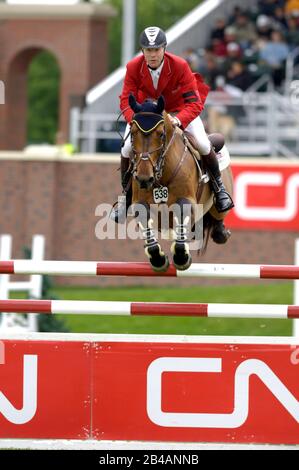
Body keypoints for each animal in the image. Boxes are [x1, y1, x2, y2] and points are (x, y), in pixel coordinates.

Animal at [126, 94, 234, 272]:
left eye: (160, 134)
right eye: (133, 134)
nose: (144, 178)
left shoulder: (186, 200)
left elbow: (182, 215)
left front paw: (182, 257)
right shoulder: (140, 203)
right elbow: (147, 226)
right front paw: (158, 259)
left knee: (218, 216)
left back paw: (221, 228)